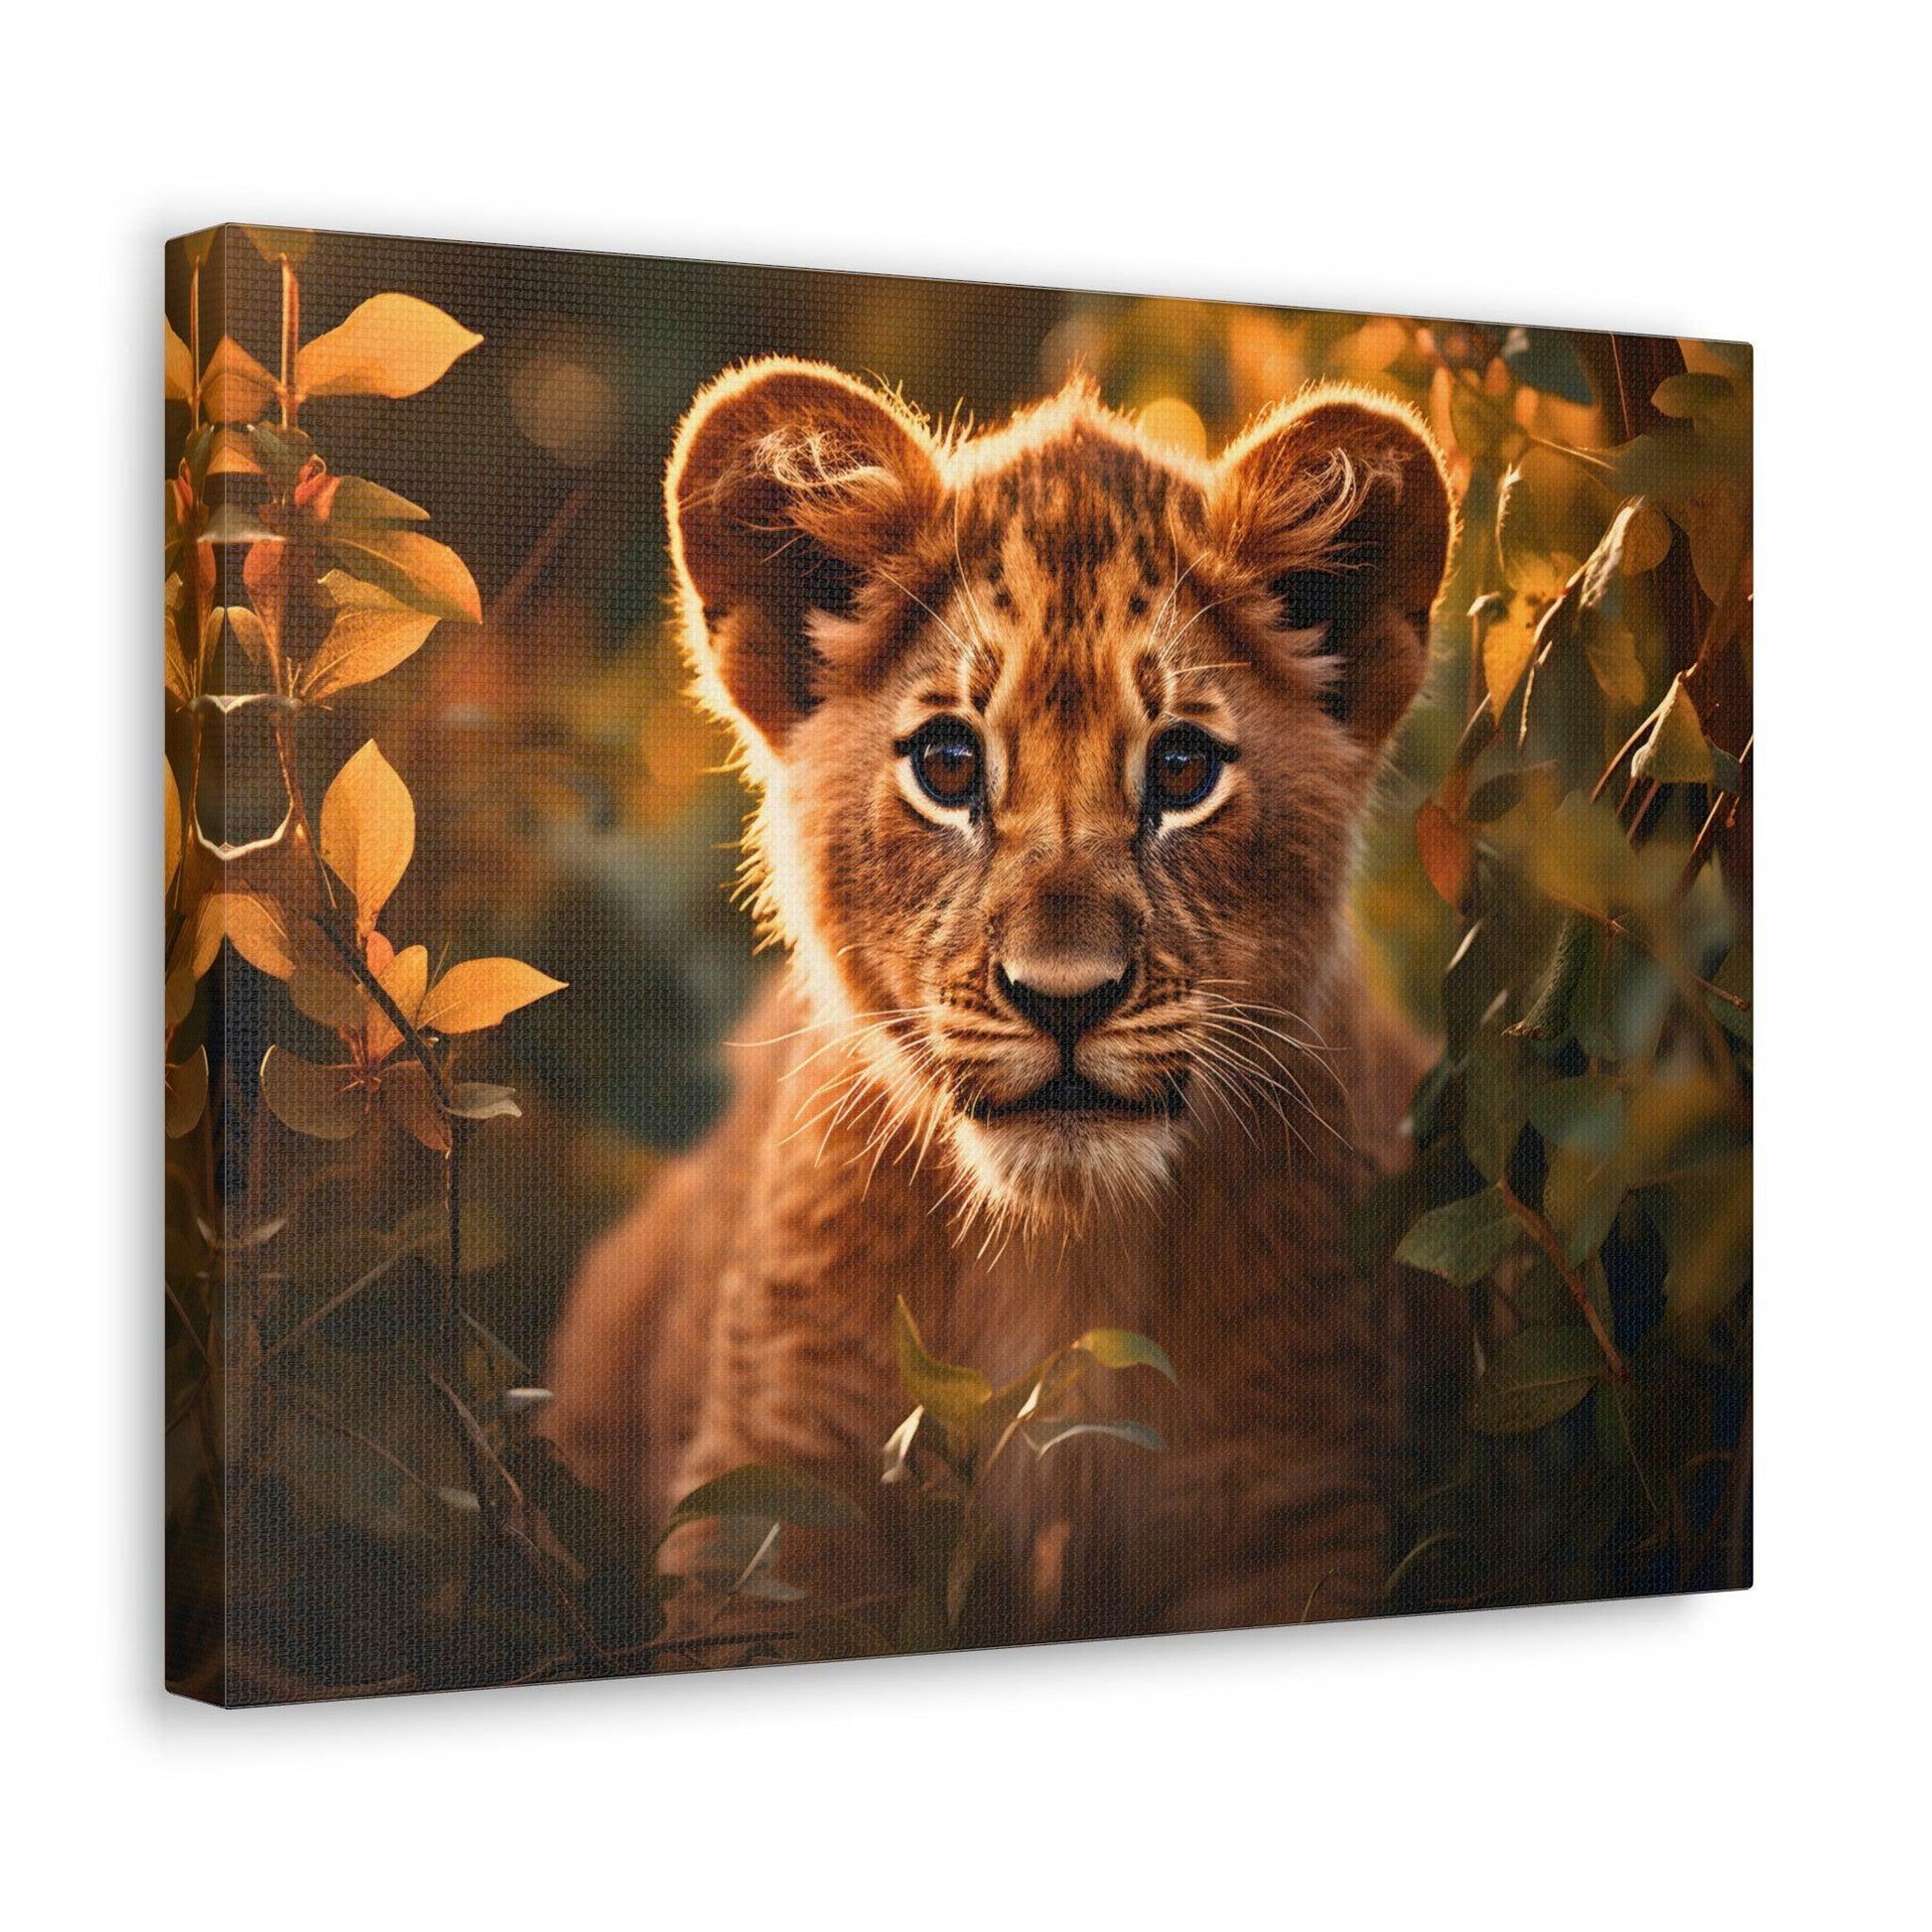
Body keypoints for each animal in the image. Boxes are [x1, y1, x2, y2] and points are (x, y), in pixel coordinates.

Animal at [543, 355, 1455, 1647]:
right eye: (947, 764)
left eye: (1181, 769)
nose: (1062, 999)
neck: (1058, 1255)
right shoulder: (774, 1497)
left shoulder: (1291, 1505)